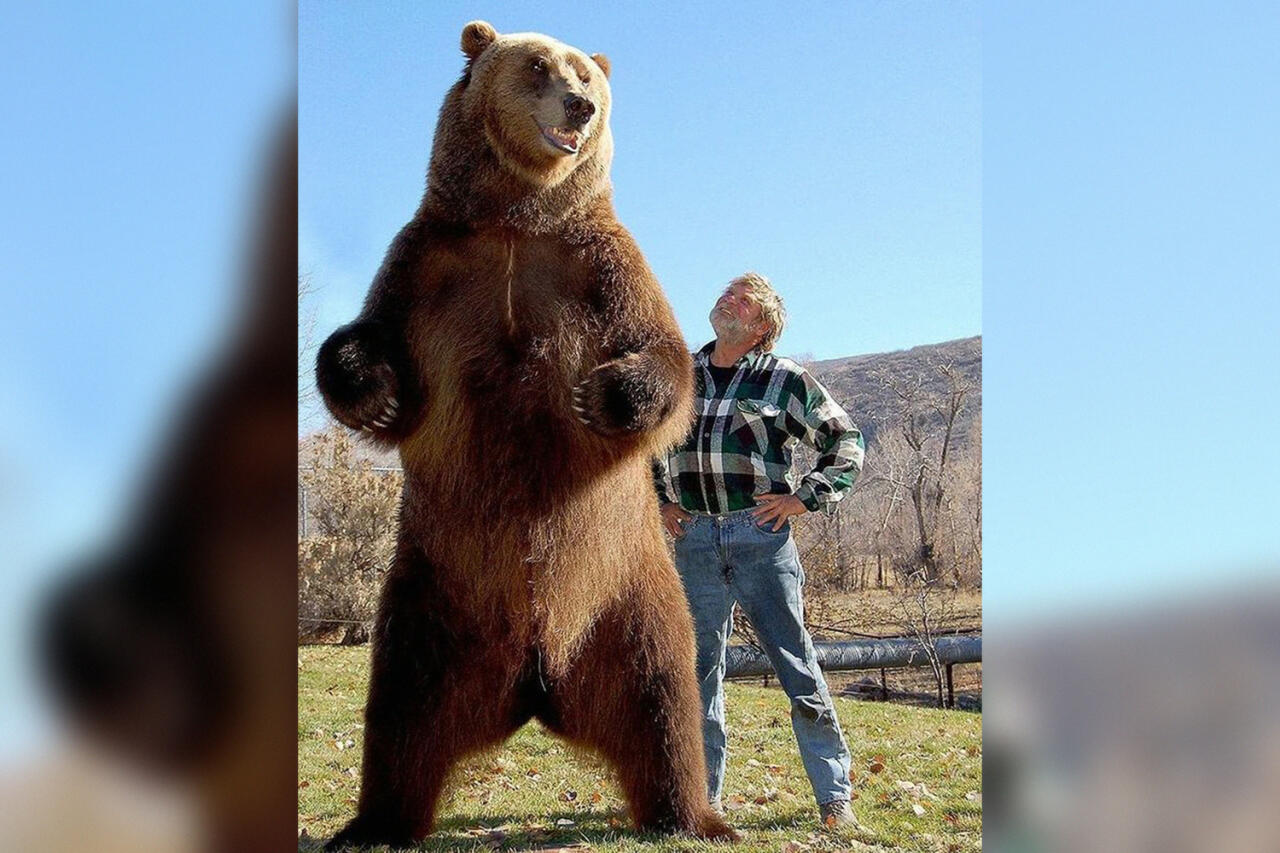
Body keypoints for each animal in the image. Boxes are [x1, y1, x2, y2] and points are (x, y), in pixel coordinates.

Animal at [318, 21, 737, 850]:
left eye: (587, 76)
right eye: (538, 66)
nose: (579, 106)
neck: (519, 217)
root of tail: (537, 683)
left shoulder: (600, 265)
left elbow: (663, 358)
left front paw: (600, 394)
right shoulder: (432, 263)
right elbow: (374, 336)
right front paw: (373, 392)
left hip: (627, 592)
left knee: (665, 700)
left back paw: (695, 816)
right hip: (433, 598)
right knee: (400, 715)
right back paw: (371, 821)